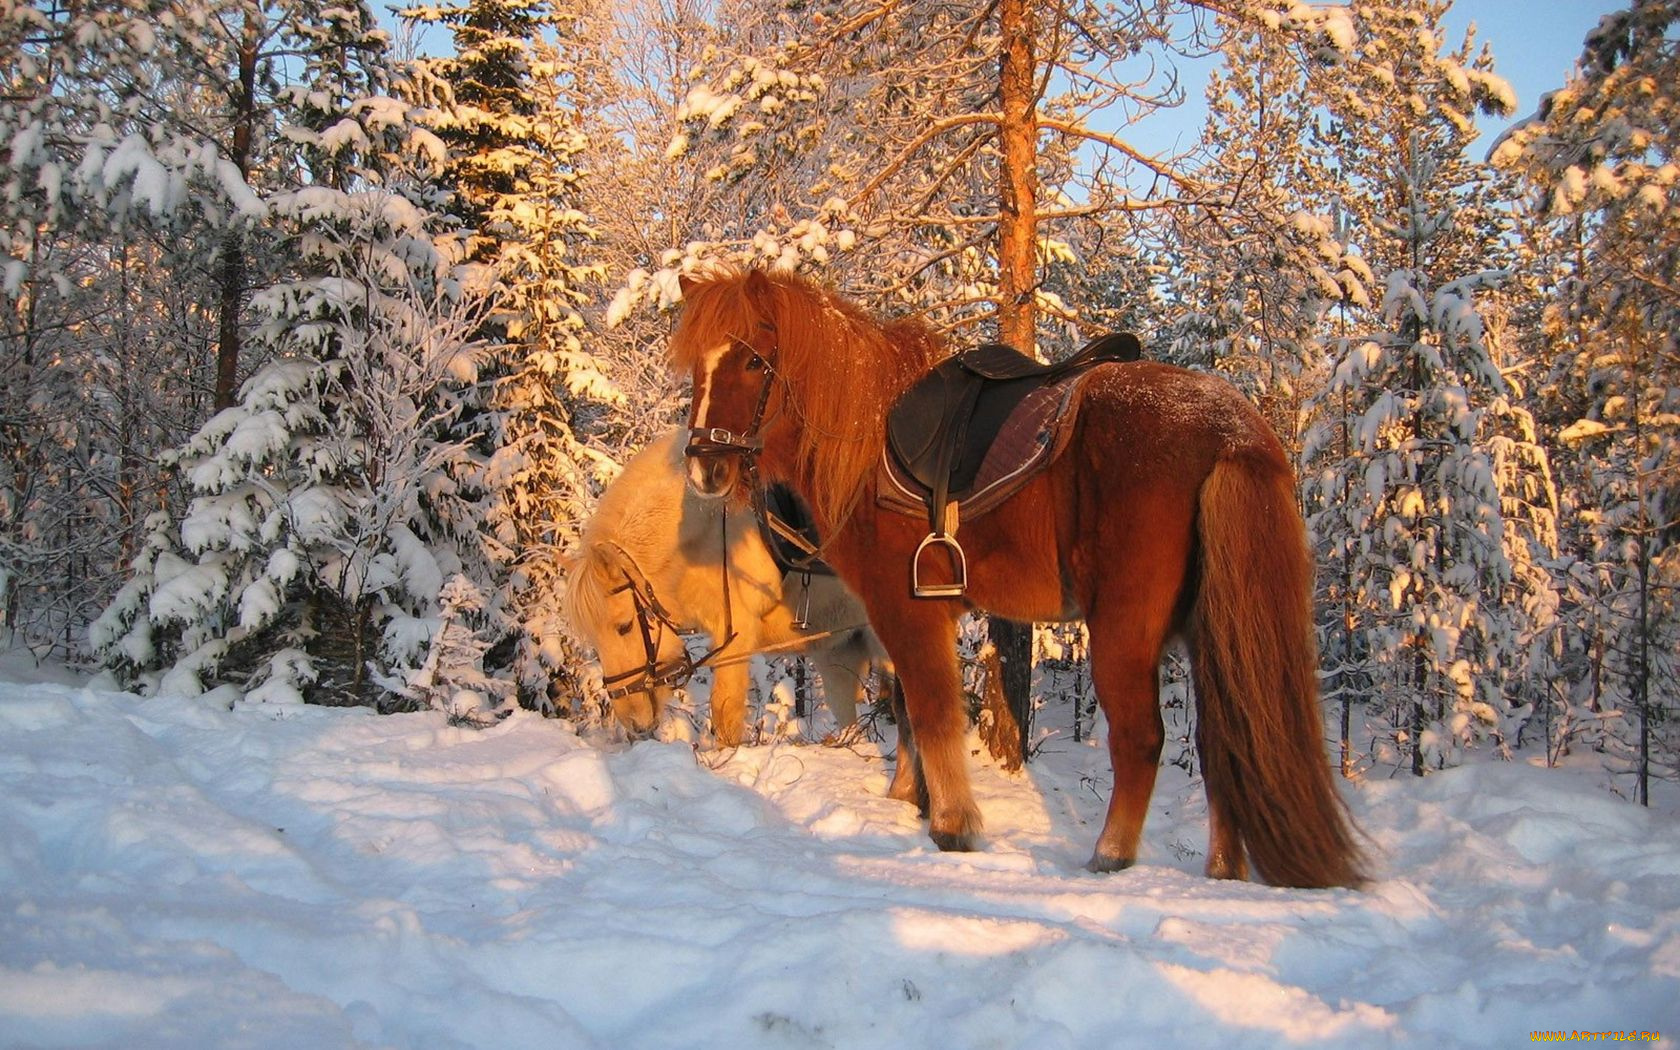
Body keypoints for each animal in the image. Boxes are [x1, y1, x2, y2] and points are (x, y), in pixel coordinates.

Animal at [561, 433, 880, 745]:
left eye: (624, 626)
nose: (633, 721)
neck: (706, 528)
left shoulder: (737, 635)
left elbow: (725, 714)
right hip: (839, 654)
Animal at [665, 268, 1364, 887]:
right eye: (695, 366)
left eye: (754, 362)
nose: (704, 469)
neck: (865, 439)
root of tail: (1230, 431)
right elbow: (908, 710)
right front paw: (909, 800)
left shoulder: (905, 610)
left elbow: (933, 711)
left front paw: (952, 826)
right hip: (1210, 630)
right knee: (1226, 740)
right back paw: (1222, 869)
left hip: (1125, 633)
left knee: (1141, 740)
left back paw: (1110, 855)